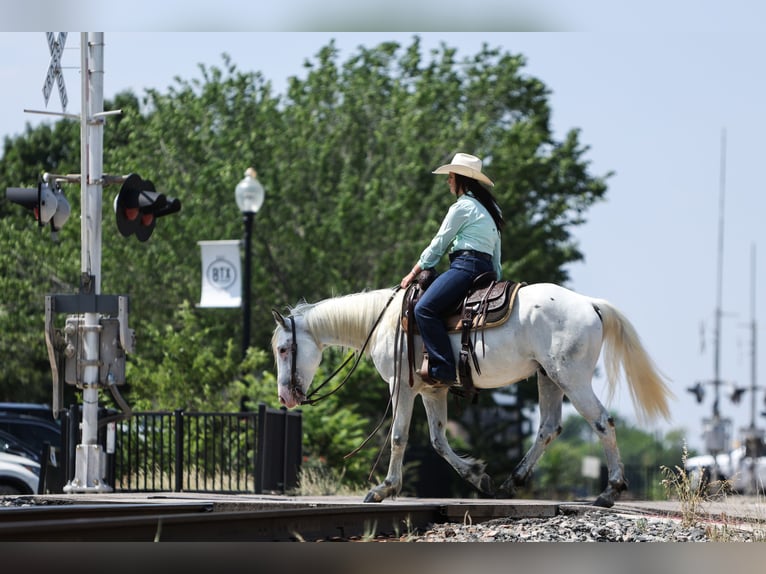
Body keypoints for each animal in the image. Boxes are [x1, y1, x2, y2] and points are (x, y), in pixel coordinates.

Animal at [272, 284, 676, 508]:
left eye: (282, 349)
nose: (285, 399)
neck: (386, 323)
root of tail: (590, 303)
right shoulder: (431, 389)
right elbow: (437, 440)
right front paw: (478, 476)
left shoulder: (401, 387)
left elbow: (400, 437)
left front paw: (384, 489)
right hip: (549, 378)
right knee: (549, 428)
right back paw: (512, 482)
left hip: (572, 378)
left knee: (602, 422)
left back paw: (610, 491)